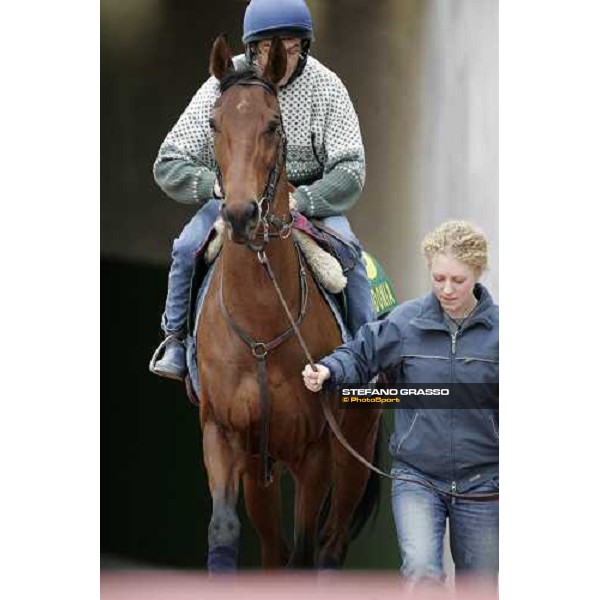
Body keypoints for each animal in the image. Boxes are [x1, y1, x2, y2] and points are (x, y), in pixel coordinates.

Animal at [198, 35, 384, 568]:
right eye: (214, 122)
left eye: (273, 124)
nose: (240, 214)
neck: (262, 326)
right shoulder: (223, 433)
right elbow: (225, 531)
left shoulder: (316, 450)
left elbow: (302, 552)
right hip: (260, 467)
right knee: (272, 548)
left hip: (355, 450)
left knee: (331, 543)